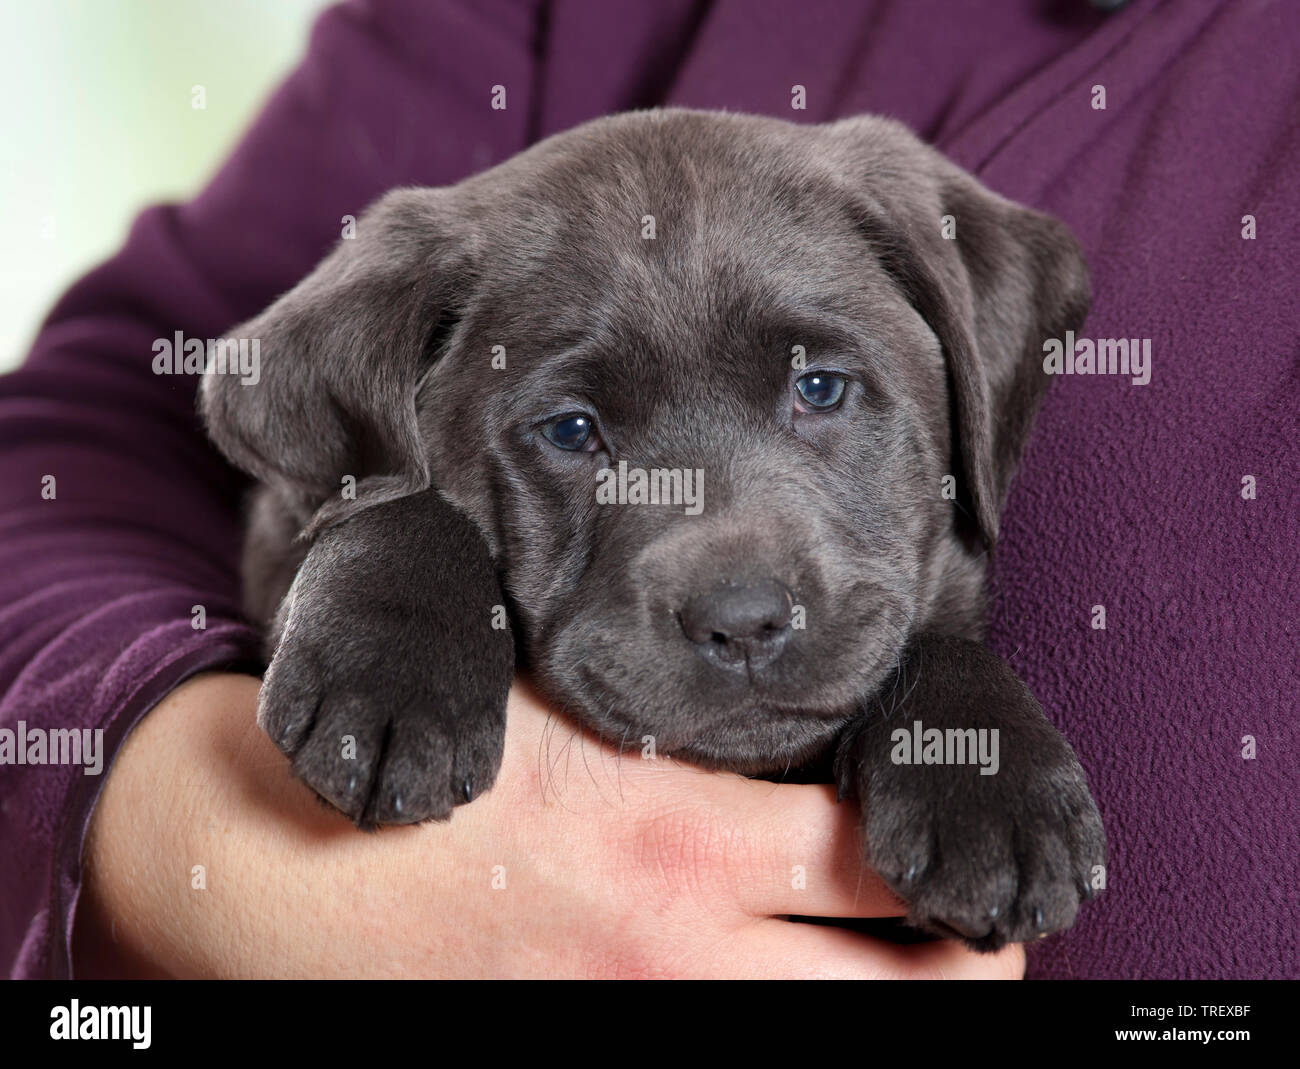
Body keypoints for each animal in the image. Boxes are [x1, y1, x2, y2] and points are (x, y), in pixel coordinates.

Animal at [202, 108, 1107, 951]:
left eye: (818, 386)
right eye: (571, 430)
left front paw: (986, 780)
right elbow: (396, 494)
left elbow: (937, 634)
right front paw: (392, 672)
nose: (742, 623)